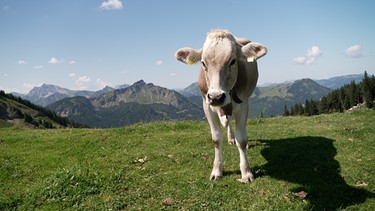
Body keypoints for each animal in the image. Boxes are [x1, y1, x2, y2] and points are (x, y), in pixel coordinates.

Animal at [176, 29, 268, 183]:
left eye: (233, 61)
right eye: (203, 63)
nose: (216, 97)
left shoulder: (243, 105)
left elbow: (241, 139)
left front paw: (246, 172)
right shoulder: (206, 106)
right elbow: (216, 139)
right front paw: (217, 170)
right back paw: (230, 138)